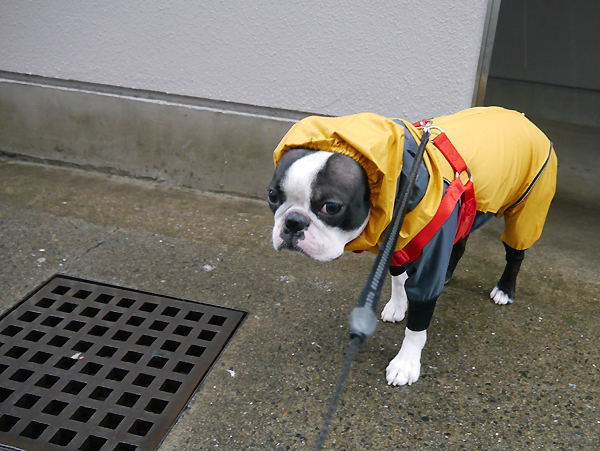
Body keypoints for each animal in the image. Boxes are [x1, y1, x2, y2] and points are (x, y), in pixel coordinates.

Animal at [268, 107, 556, 386]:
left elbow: (419, 319)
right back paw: (448, 274)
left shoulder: (429, 258)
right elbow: (398, 279)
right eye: (272, 195)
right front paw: (398, 306)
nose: (292, 222)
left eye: (331, 207)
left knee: (516, 253)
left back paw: (505, 289)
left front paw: (406, 362)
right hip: (469, 212)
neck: (403, 183)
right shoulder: (394, 245)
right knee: (460, 243)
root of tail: (524, 119)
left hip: (527, 208)